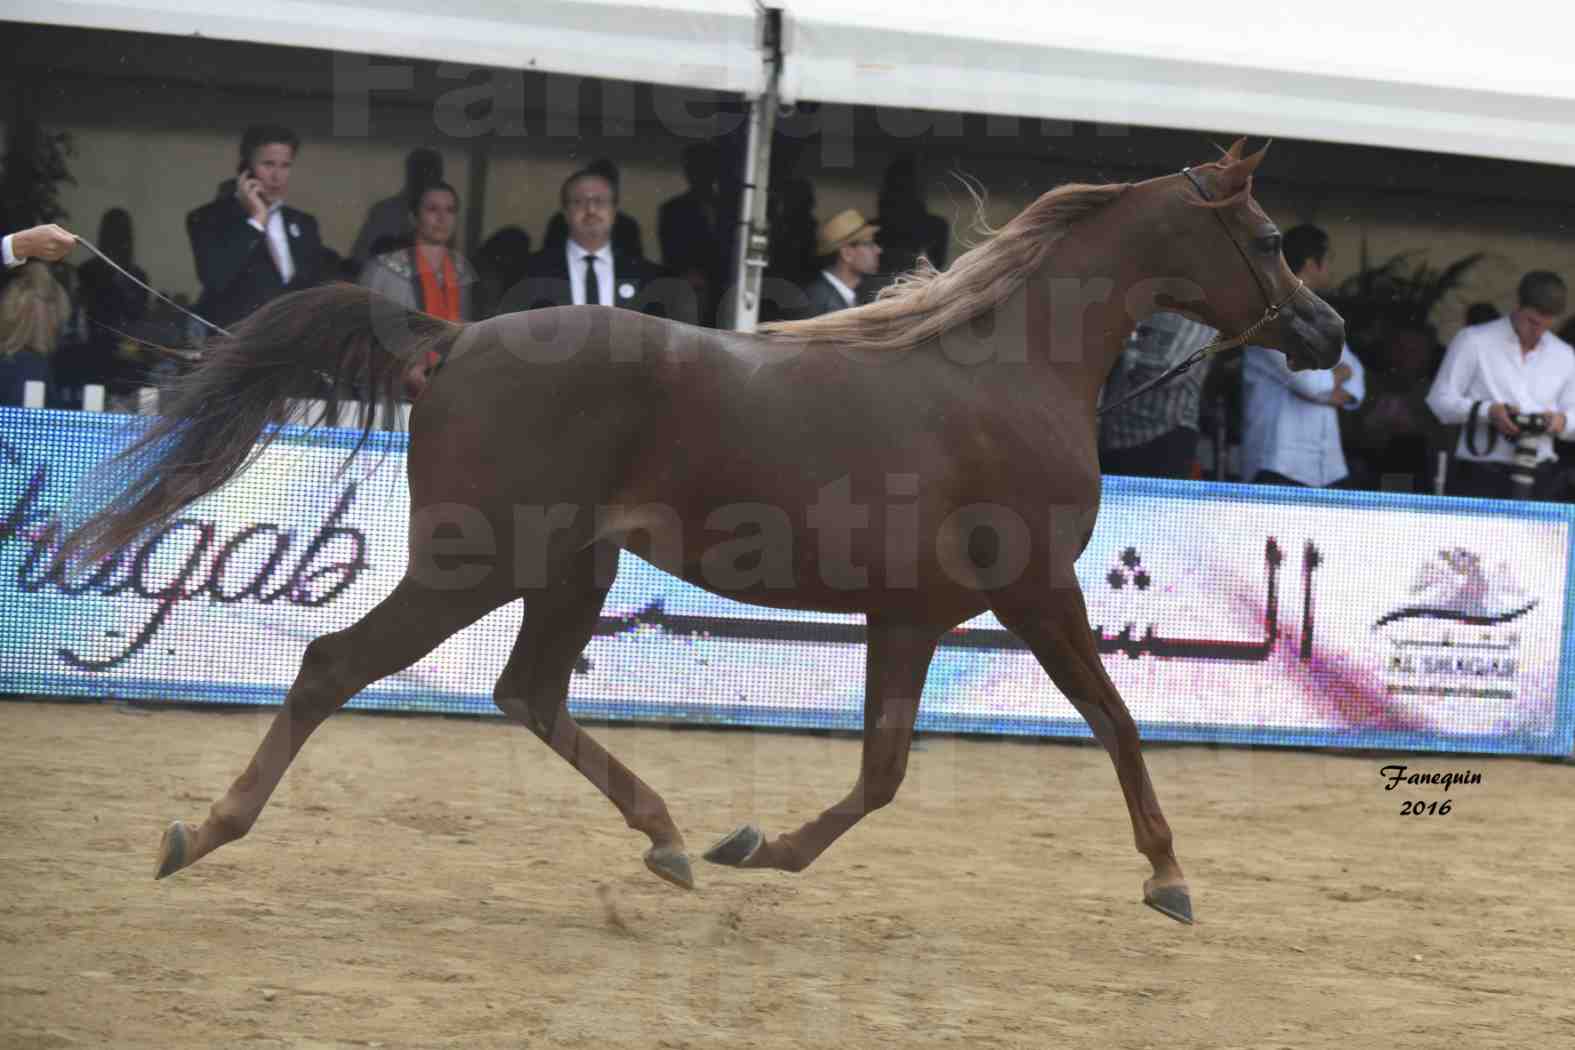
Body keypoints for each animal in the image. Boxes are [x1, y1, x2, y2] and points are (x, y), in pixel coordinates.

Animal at [61, 141, 1341, 925]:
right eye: (1271, 238)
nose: (1327, 332)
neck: (1006, 368)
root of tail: (455, 339)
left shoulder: (911, 613)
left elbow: (883, 772)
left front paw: (749, 847)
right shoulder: (1034, 596)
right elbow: (1116, 725)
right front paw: (1170, 876)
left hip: (571, 566)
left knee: (527, 693)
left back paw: (670, 838)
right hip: (478, 562)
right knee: (337, 666)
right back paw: (204, 833)